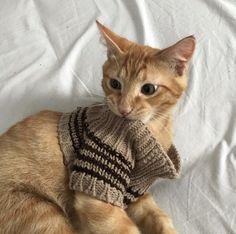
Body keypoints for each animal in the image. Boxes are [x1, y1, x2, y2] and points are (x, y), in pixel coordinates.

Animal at [0, 21, 195, 233]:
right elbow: (125, 228)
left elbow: (159, 217)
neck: (153, 130)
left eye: (148, 89)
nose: (123, 109)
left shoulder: (136, 193)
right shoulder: (97, 190)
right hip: (42, 214)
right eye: (115, 83)